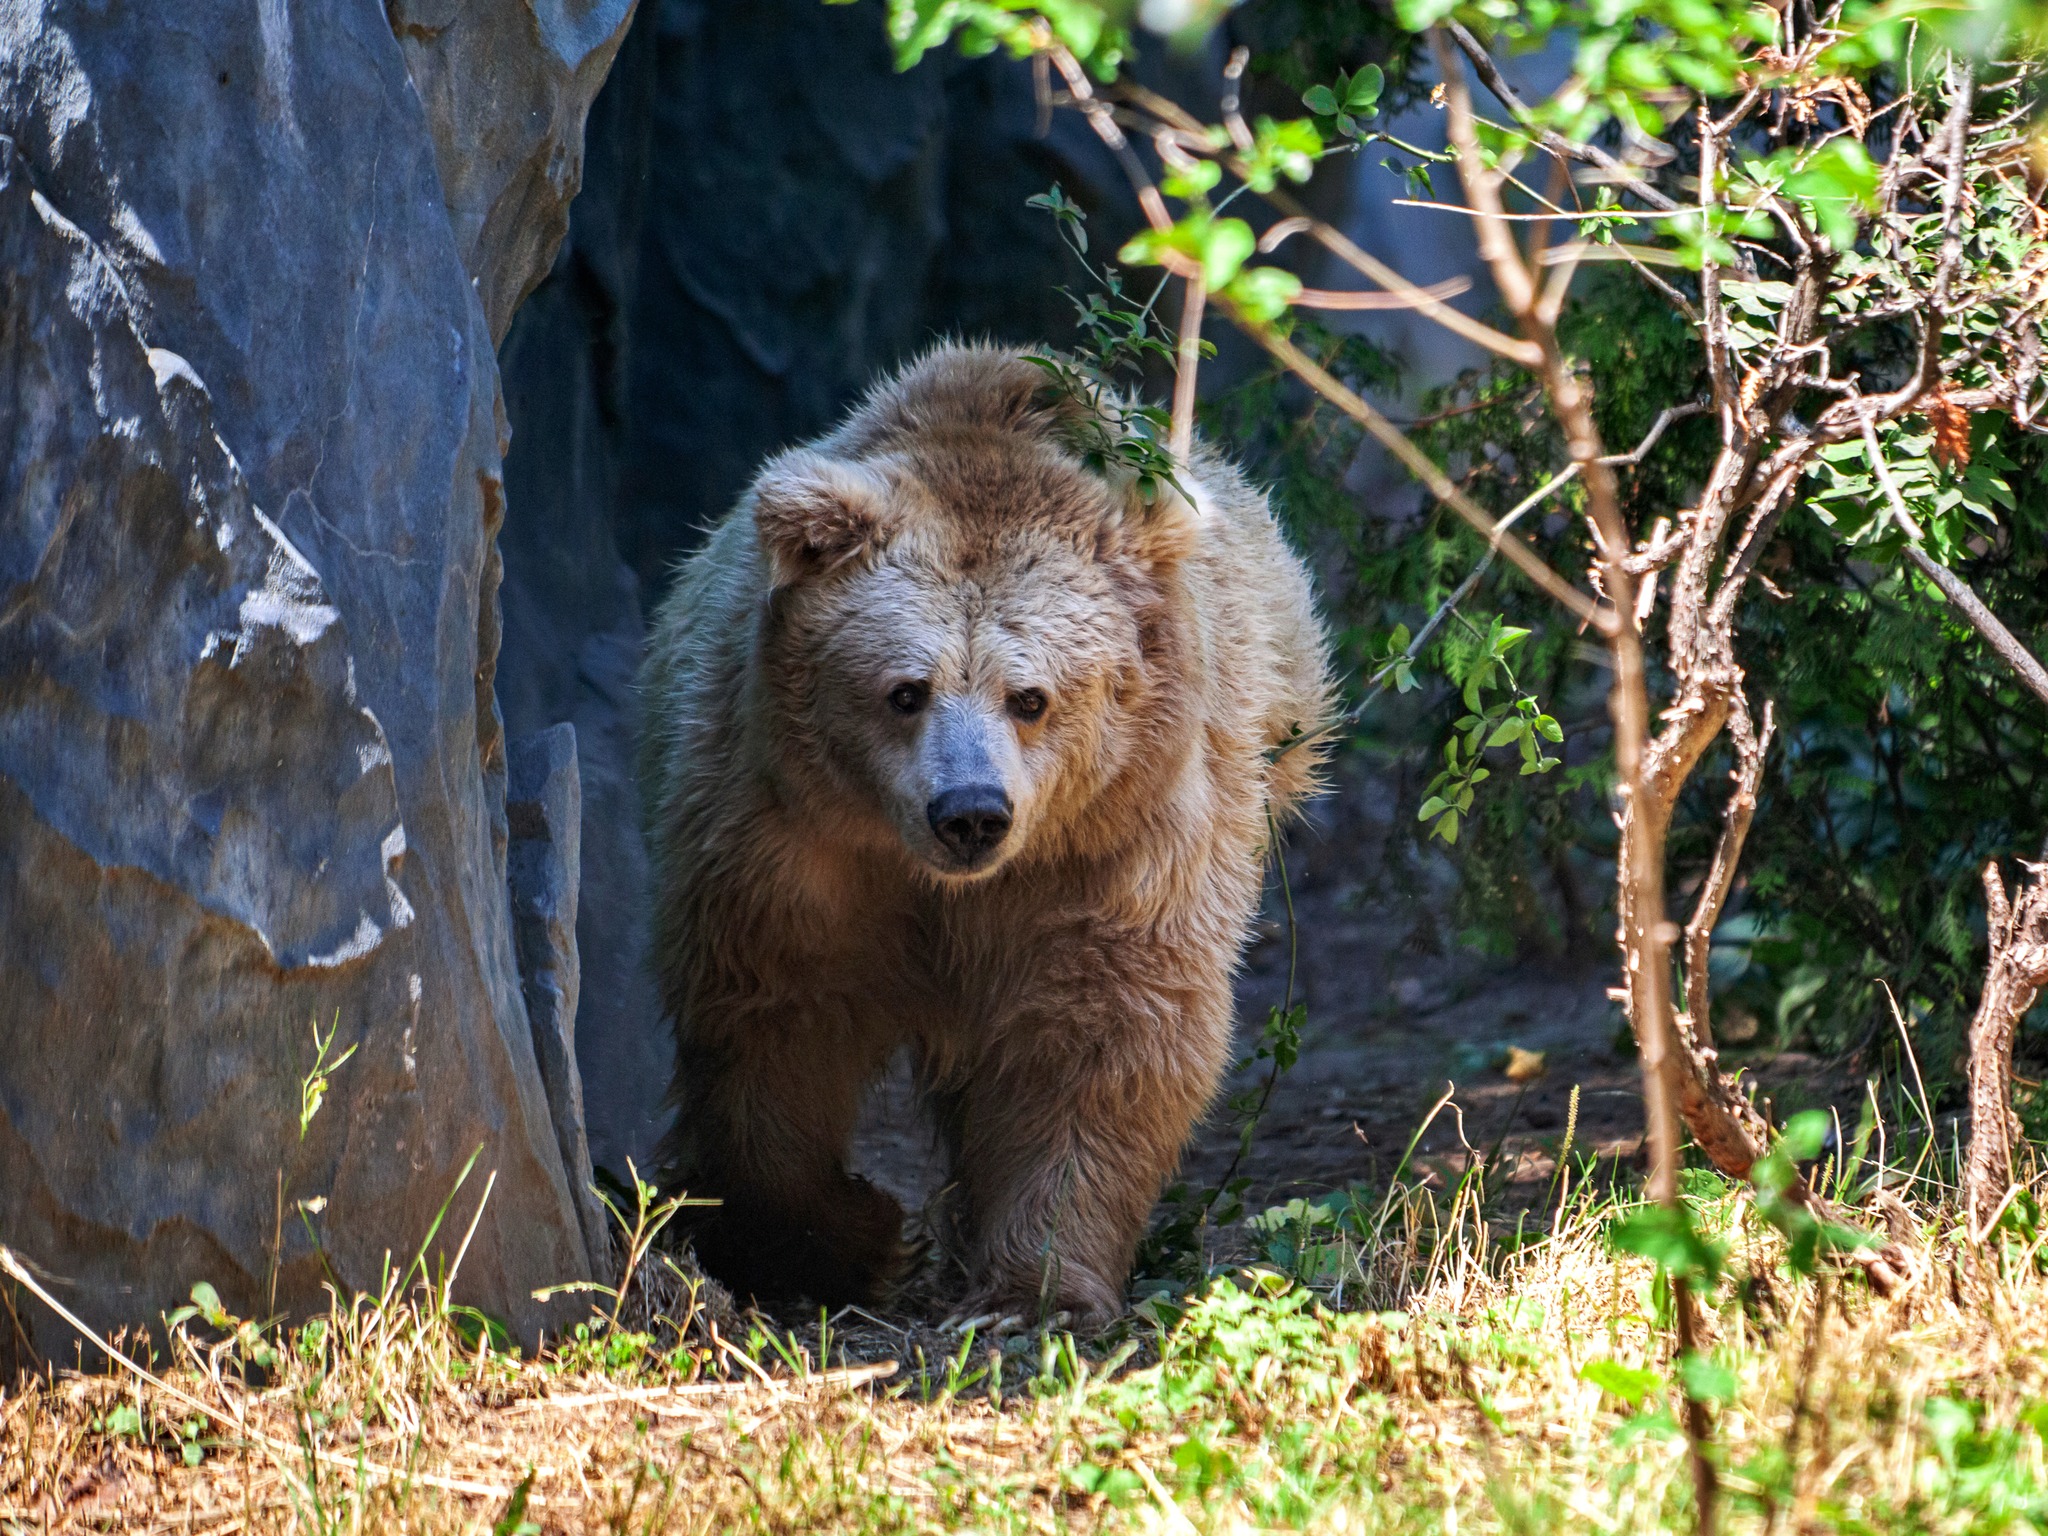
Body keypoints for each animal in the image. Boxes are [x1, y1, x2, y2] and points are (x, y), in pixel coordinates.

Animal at [647, 346, 1335, 1327]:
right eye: (905, 690)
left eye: (1031, 697)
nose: (970, 811)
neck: (942, 887)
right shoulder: (786, 838)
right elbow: (772, 1023)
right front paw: (859, 1238)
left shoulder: (1117, 843)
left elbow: (1101, 1036)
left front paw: (1037, 1283)